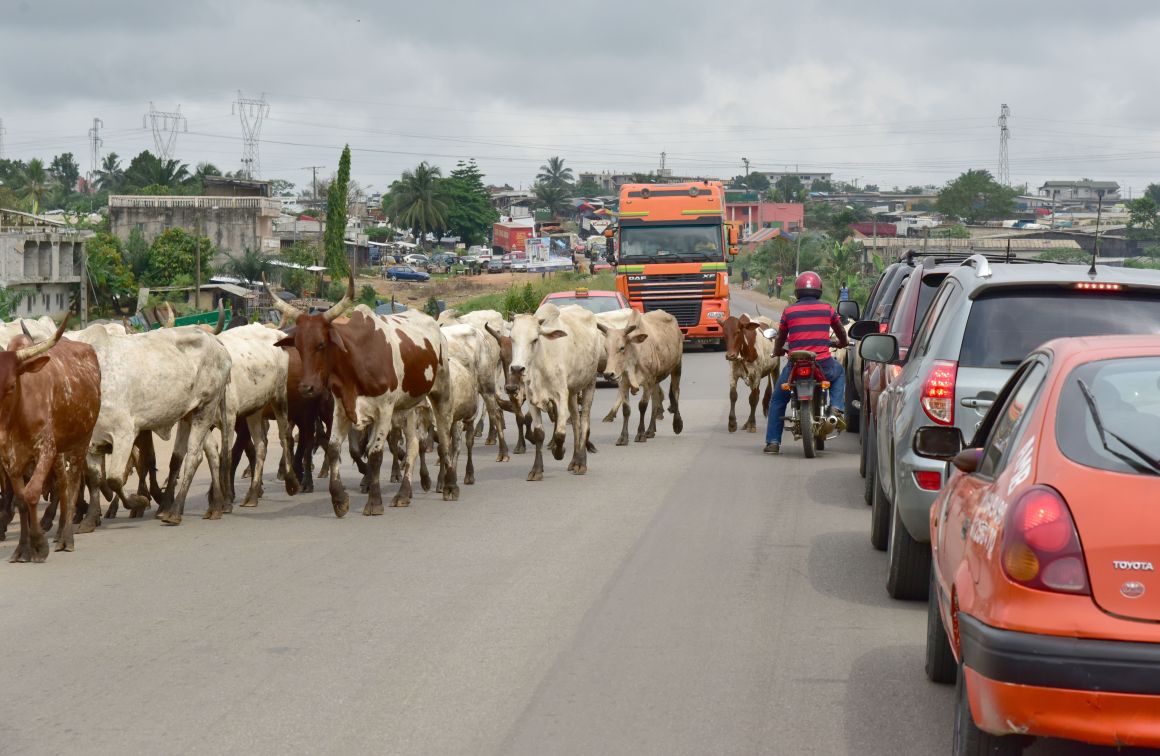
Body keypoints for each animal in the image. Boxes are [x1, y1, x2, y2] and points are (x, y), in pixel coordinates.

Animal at [593, 310, 682, 445]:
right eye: (606, 348)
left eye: (622, 347)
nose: (608, 374)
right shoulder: (623, 383)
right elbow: (626, 409)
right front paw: (623, 437)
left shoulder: (648, 382)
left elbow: (642, 406)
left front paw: (640, 434)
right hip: (656, 380)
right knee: (656, 400)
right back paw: (650, 430)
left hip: (676, 367)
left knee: (675, 392)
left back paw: (677, 424)